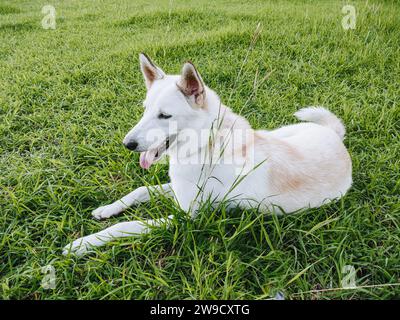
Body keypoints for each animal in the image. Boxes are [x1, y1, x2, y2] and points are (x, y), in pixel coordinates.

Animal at [61, 53, 352, 258]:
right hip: (280, 131)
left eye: (164, 115)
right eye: (145, 110)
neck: (207, 144)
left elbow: (127, 225)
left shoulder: (187, 218)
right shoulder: (178, 190)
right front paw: (106, 209)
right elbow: (140, 190)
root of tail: (335, 136)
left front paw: (83, 244)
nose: (127, 144)